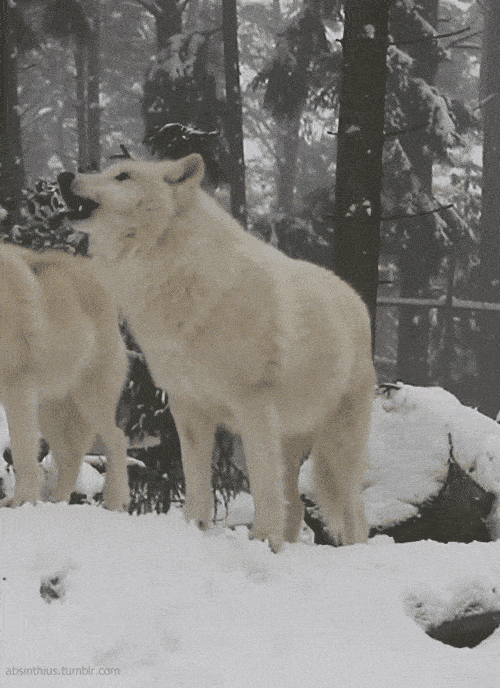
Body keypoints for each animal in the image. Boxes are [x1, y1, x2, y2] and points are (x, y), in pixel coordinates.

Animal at [0, 243, 131, 510]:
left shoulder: (16, 388)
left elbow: (22, 453)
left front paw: (22, 501)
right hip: (49, 412)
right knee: (71, 456)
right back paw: (55, 502)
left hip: (89, 402)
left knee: (117, 440)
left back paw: (116, 502)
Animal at [59, 153, 376, 552]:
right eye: (104, 171)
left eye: (123, 176)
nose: (64, 175)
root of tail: (356, 300)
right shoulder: (188, 408)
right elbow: (197, 482)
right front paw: (195, 527)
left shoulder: (253, 408)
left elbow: (262, 487)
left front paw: (260, 539)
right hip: (289, 445)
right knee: (296, 506)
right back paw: (285, 546)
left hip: (336, 446)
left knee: (353, 511)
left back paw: (351, 550)